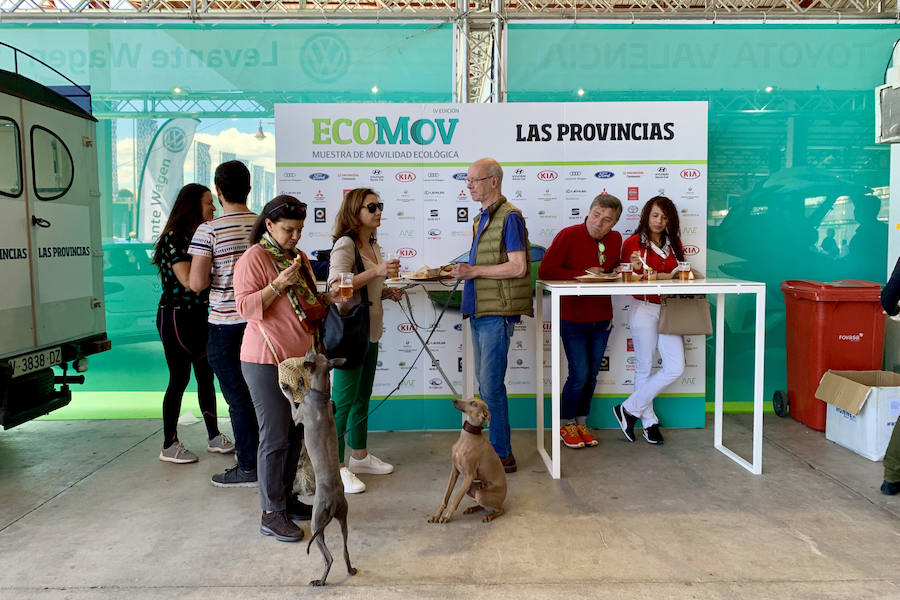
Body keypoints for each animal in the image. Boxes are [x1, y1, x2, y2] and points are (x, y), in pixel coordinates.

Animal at [278, 350, 356, 588]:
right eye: (319, 354)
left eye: (311, 355)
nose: (307, 350)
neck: (320, 396)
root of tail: (334, 502)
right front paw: (301, 384)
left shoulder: (297, 416)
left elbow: (292, 402)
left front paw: (291, 387)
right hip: (343, 520)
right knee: (345, 551)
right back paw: (350, 570)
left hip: (317, 523)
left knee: (329, 557)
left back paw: (319, 581)